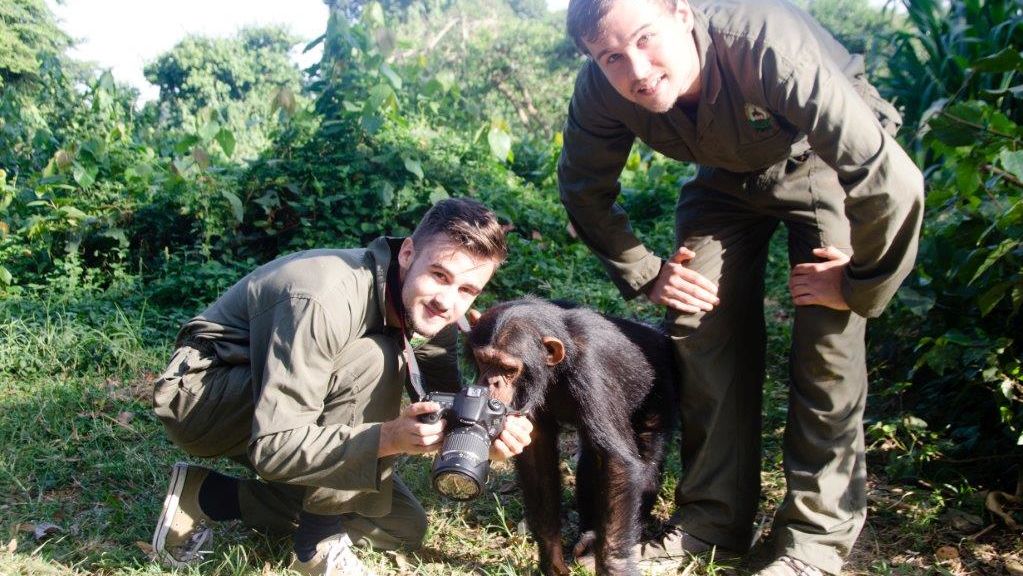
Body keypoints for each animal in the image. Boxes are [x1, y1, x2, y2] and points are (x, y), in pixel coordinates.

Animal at [466, 300, 679, 572]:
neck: (557, 368)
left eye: (508, 369)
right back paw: (587, 537)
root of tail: (658, 333)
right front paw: (552, 561)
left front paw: (614, 564)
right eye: (483, 360)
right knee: (591, 459)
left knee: (647, 456)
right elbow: (537, 459)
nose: (491, 382)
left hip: (660, 392)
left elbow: (616, 464)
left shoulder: (592, 371)